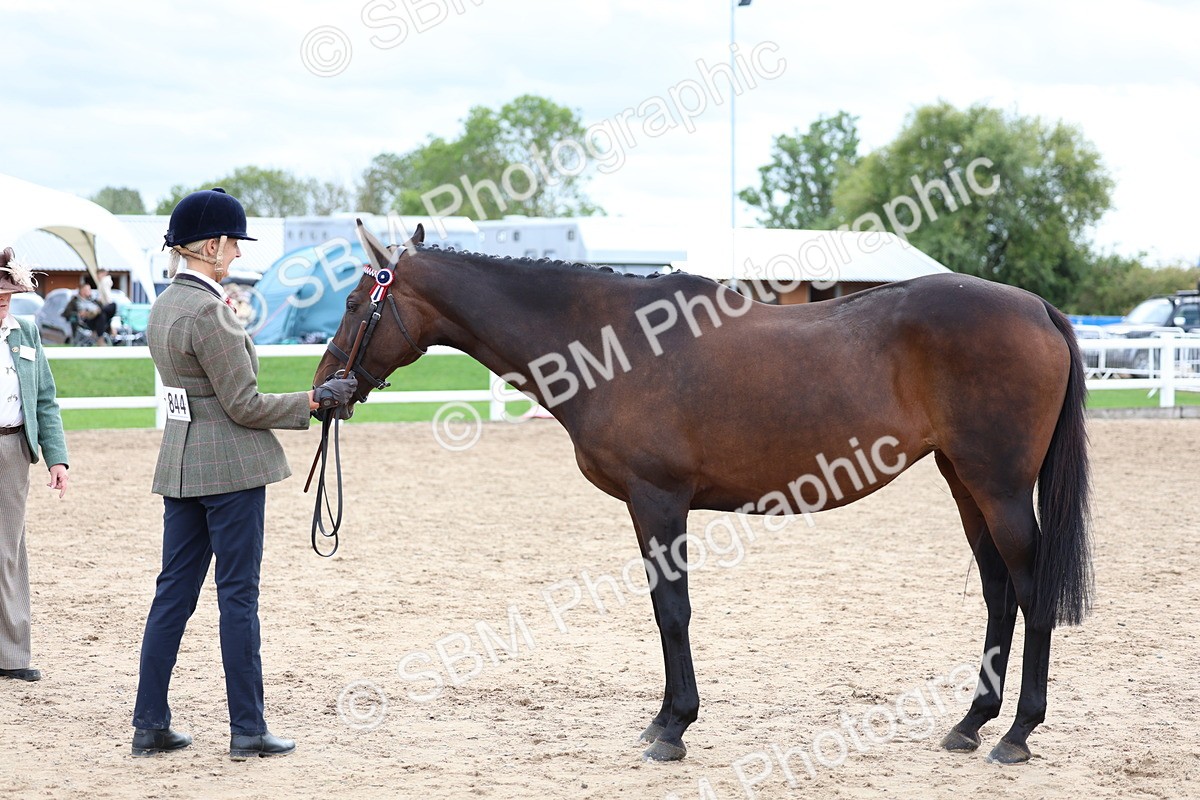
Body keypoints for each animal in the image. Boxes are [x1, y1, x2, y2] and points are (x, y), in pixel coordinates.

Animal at [312, 221, 1092, 764]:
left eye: (352, 302)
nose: (323, 392)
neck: (610, 342)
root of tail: (1039, 309)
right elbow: (667, 612)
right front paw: (664, 719)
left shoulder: (658, 500)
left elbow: (672, 611)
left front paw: (673, 728)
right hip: (965, 483)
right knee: (998, 592)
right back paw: (969, 724)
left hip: (999, 486)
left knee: (1030, 591)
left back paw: (1017, 734)